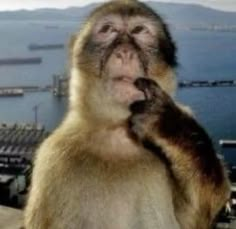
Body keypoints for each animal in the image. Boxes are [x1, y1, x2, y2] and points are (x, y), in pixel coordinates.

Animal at [24, 0, 230, 229]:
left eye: (139, 30)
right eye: (108, 29)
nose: (124, 52)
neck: (118, 133)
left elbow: (195, 218)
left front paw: (167, 124)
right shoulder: (52, 159)